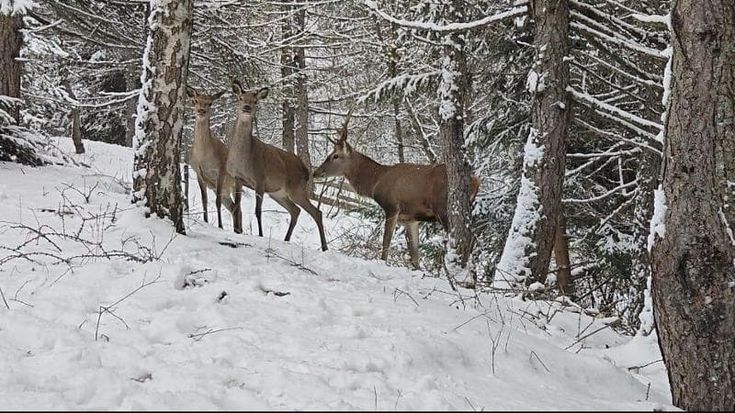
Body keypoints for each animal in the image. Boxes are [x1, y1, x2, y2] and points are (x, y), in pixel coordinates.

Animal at [186, 86, 242, 233]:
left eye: (210, 103)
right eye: (195, 100)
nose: (201, 110)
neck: (203, 157)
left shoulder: (220, 170)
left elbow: (216, 201)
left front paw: (220, 226)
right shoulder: (198, 172)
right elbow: (204, 200)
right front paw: (205, 221)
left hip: (236, 184)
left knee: (238, 207)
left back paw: (239, 230)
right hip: (225, 191)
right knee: (233, 207)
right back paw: (237, 229)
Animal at [217, 80, 328, 251]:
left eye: (255, 101)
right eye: (241, 98)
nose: (247, 107)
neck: (244, 159)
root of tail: (305, 169)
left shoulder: (260, 180)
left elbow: (258, 211)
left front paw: (260, 234)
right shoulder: (238, 178)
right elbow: (237, 206)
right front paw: (237, 230)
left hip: (296, 188)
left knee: (316, 212)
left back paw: (324, 246)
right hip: (278, 193)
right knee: (295, 210)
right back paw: (286, 239)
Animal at [312, 110, 481, 270]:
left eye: (335, 156)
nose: (315, 172)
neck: (375, 182)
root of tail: (476, 181)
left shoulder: (391, 207)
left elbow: (386, 242)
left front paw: (382, 262)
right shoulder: (410, 219)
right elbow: (414, 256)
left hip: (443, 209)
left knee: (467, 239)